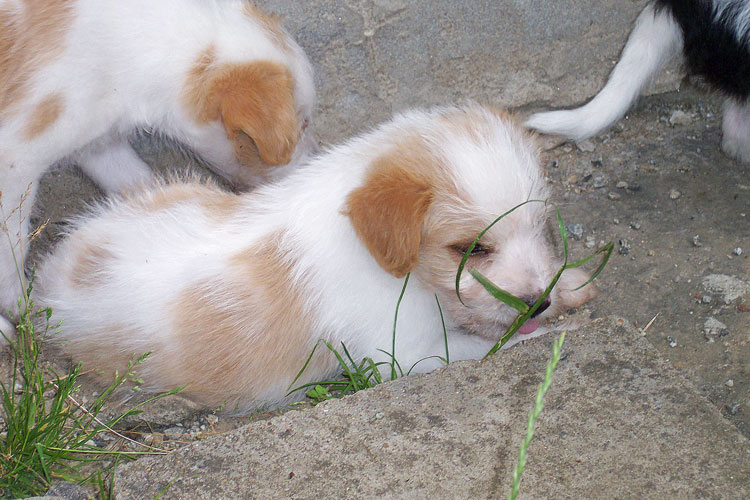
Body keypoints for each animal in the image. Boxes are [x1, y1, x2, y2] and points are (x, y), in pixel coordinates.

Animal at [0, 0, 317, 336]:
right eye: (302, 125)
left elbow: (138, 181)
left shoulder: (97, 139)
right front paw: (21, 305)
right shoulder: (14, 160)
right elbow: (10, 246)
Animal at [34, 104, 598, 413]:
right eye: (470, 249)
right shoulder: (404, 354)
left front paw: (570, 283)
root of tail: (53, 271)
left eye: (541, 227)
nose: (538, 304)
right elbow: (487, 347)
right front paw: (551, 333)